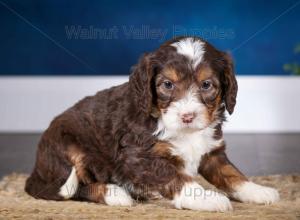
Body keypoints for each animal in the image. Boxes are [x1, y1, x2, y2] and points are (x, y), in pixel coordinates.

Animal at [25, 36, 278, 211]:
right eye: (167, 84)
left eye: (206, 85)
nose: (187, 116)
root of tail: (36, 170)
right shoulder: (137, 155)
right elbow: (176, 177)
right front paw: (208, 198)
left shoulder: (211, 151)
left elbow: (231, 173)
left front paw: (258, 191)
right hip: (68, 145)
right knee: (75, 187)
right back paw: (115, 194)